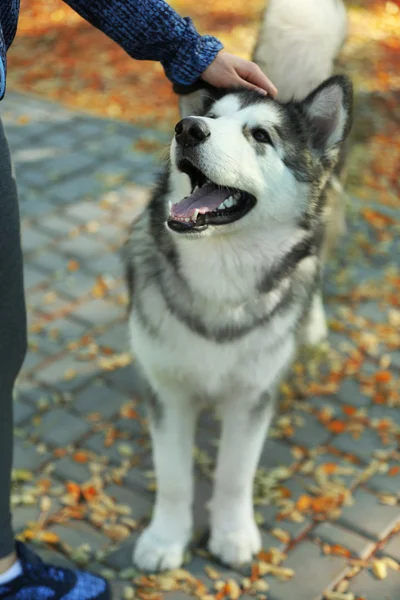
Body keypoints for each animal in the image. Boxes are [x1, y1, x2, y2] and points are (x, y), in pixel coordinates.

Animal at [122, 0, 354, 568]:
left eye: (261, 136)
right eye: (211, 118)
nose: (188, 128)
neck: (221, 278)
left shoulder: (253, 396)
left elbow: (233, 474)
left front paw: (231, 533)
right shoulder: (167, 392)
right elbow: (173, 478)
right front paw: (165, 538)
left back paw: (311, 323)